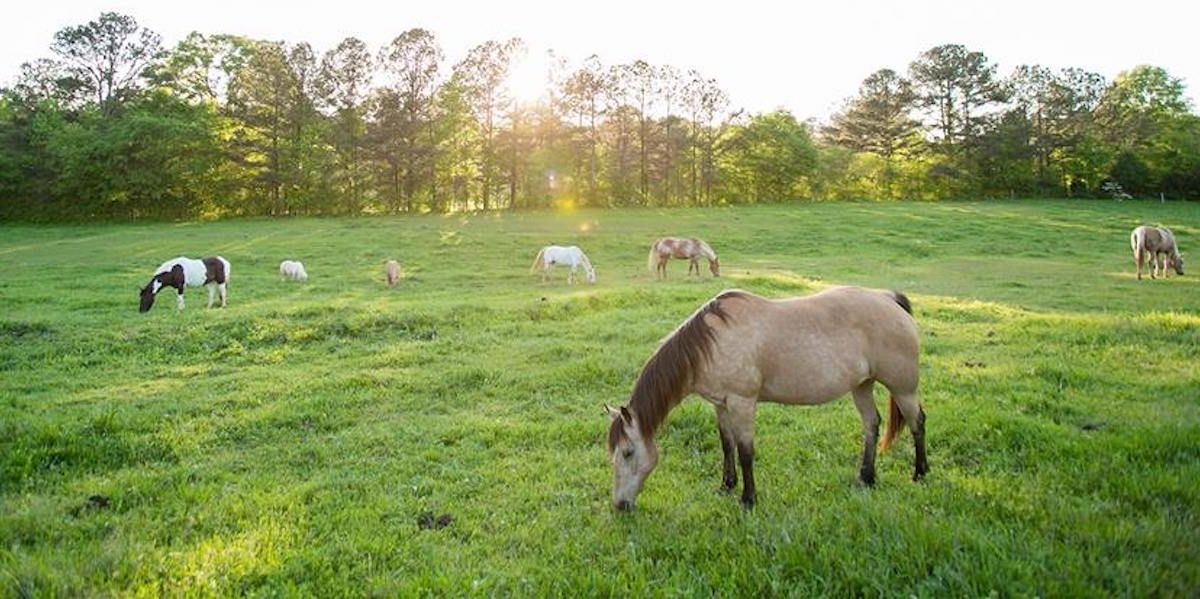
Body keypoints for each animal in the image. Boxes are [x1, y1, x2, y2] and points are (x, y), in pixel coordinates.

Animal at [604, 286, 921, 511]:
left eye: (628, 452)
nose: (620, 505)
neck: (711, 343)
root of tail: (889, 298)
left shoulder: (742, 402)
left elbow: (746, 451)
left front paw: (748, 499)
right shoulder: (720, 404)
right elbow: (727, 444)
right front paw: (726, 486)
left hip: (903, 388)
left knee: (917, 422)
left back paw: (919, 474)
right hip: (862, 385)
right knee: (871, 424)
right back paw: (866, 478)